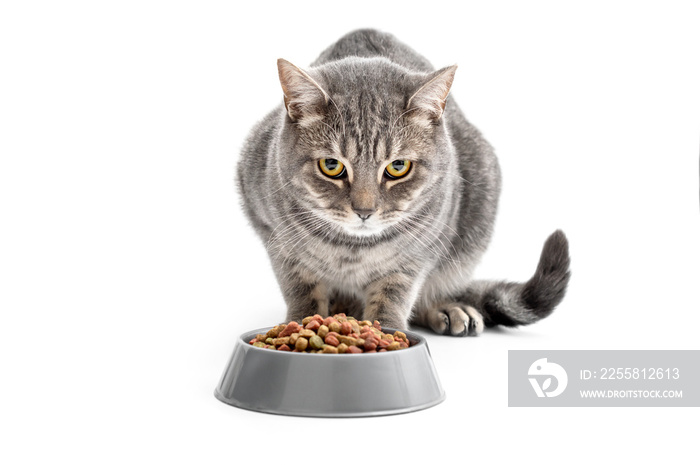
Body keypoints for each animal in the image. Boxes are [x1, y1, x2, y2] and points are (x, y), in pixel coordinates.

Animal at [238, 29, 572, 334]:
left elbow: (394, 294)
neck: (352, 249)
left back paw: (448, 308)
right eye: (331, 166)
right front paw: (299, 323)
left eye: (398, 167)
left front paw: (386, 330)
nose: (364, 211)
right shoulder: (276, 237)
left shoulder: (420, 249)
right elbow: (301, 288)